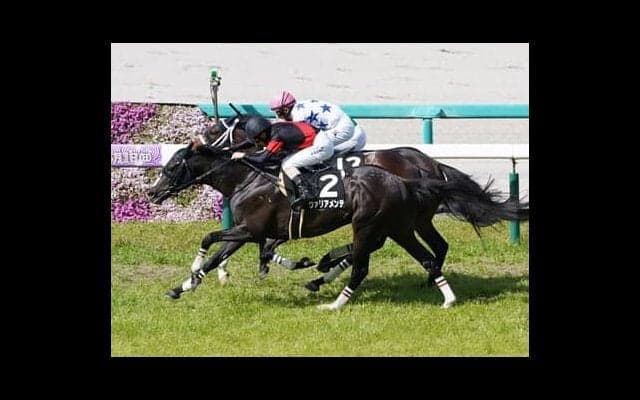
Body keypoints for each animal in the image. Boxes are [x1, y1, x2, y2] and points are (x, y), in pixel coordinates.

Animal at [147, 140, 527, 310]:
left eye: (173, 167)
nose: (152, 193)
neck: (249, 179)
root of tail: (424, 169)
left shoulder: (251, 229)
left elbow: (209, 238)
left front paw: (193, 274)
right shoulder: (248, 231)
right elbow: (219, 254)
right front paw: (183, 286)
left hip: (377, 224)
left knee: (366, 258)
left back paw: (330, 285)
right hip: (404, 225)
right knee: (432, 251)